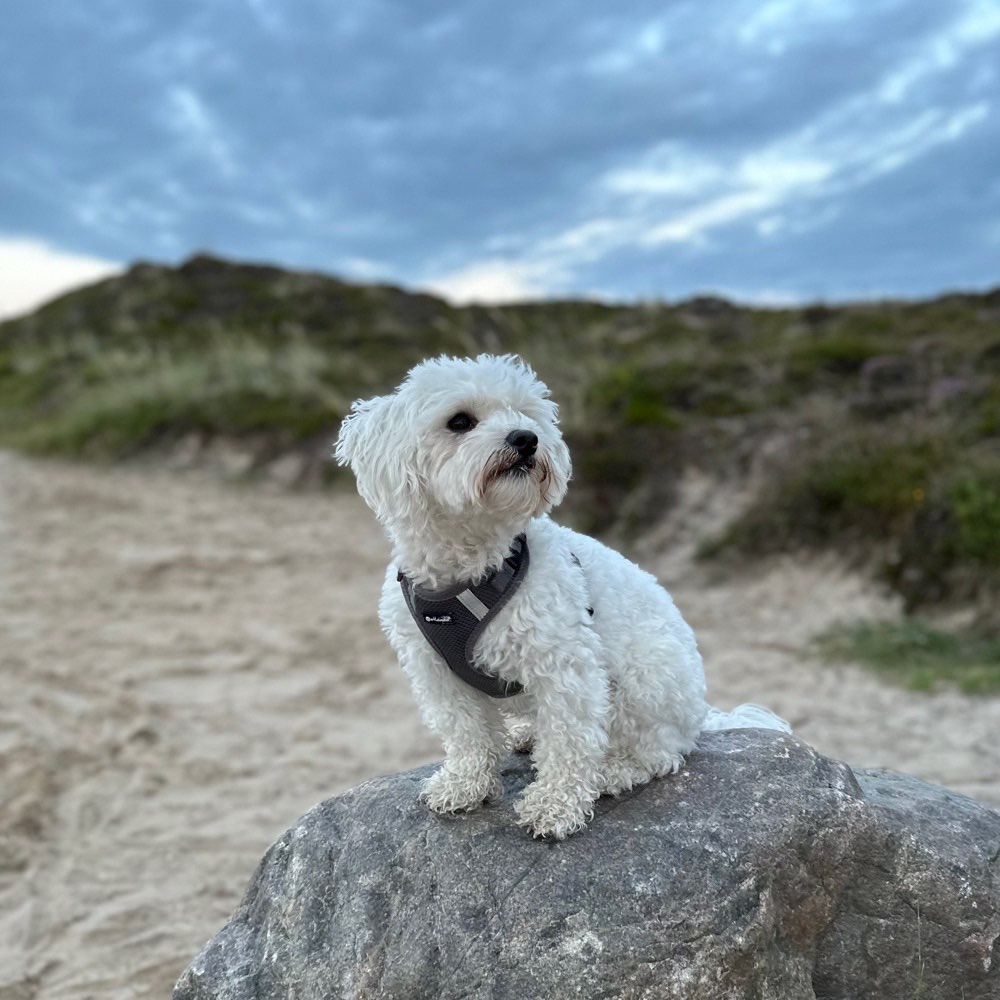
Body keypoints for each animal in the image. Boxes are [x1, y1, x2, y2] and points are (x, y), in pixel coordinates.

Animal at [336, 356, 788, 840]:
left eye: (525, 414)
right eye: (460, 422)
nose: (526, 438)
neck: (473, 567)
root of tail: (701, 714)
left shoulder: (564, 667)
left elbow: (569, 742)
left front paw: (554, 805)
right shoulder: (436, 672)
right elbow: (467, 733)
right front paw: (465, 784)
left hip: (647, 675)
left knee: (660, 752)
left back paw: (614, 770)